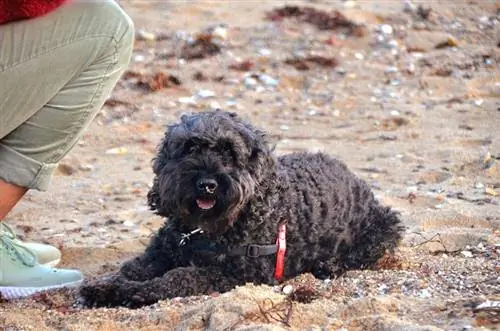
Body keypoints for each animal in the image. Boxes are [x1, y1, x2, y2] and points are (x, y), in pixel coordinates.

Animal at [80, 111, 404, 308]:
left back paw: (330, 265)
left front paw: (136, 292)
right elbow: (132, 269)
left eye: (229, 151)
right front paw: (107, 287)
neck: (200, 230)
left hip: (386, 224)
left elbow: (177, 277)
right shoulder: (162, 252)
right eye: (189, 148)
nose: (207, 184)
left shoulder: (232, 274)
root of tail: (354, 177)